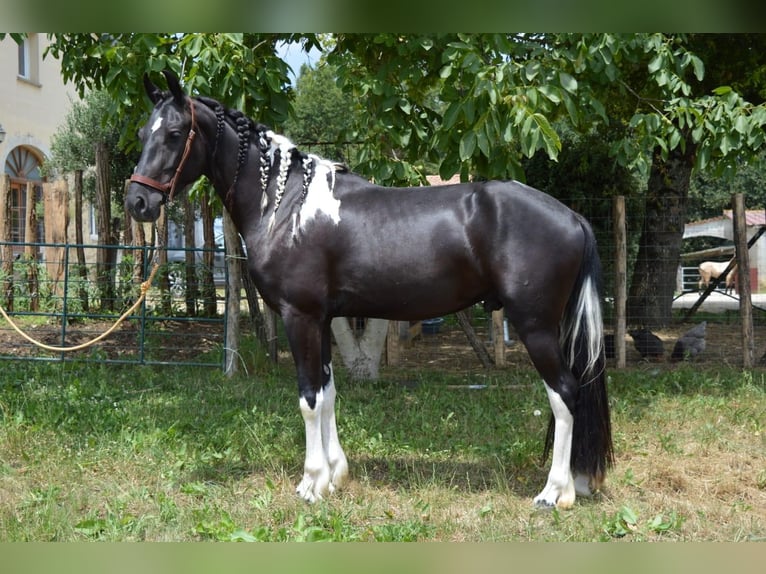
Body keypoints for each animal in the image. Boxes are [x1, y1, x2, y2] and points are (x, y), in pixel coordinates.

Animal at [125, 70, 613, 510]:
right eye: (143, 132)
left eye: (174, 133)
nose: (137, 202)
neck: (287, 205)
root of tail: (573, 217)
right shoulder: (321, 319)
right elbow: (327, 393)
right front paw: (334, 476)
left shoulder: (299, 316)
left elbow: (308, 398)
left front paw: (311, 483)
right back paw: (577, 482)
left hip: (535, 326)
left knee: (564, 394)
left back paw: (555, 493)